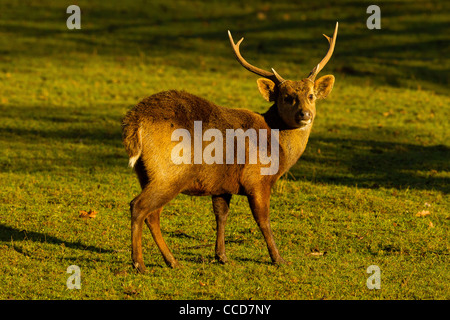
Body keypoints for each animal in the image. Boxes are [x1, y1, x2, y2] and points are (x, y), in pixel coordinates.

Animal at [121, 22, 340, 272]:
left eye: (311, 95)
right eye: (286, 97)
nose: (305, 115)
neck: (276, 146)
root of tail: (135, 121)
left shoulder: (222, 184)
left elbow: (221, 215)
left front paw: (221, 256)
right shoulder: (257, 179)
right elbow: (263, 220)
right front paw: (278, 258)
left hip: (146, 173)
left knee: (152, 214)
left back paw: (172, 260)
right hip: (169, 172)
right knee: (139, 206)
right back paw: (139, 263)